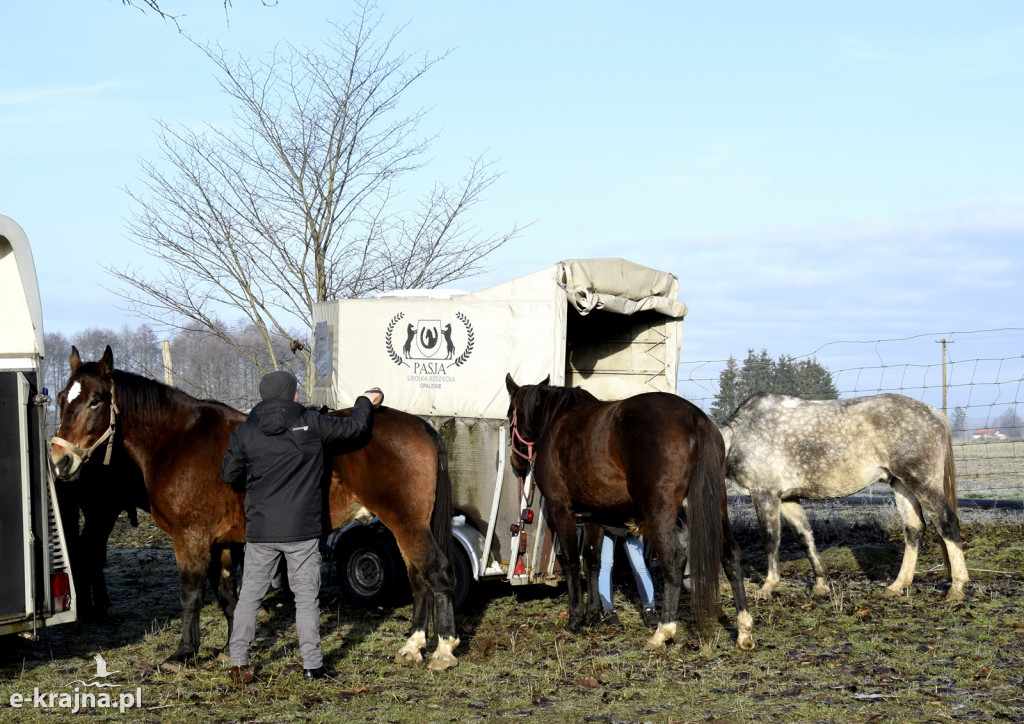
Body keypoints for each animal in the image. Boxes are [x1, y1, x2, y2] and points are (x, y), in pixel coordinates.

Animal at [50, 348, 460, 671]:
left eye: (96, 400)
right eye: (60, 397)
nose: (60, 461)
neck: (177, 442)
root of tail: (418, 424)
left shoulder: (190, 539)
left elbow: (191, 595)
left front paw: (184, 654)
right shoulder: (221, 543)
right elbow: (229, 596)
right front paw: (231, 648)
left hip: (407, 523)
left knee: (436, 574)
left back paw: (443, 650)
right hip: (402, 525)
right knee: (417, 579)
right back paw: (412, 645)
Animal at [507, 374, 757, 651]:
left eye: (509, 414)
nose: (515, 462)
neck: (558, 421)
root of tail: (695, 417)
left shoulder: (560, 508)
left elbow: (572, 561)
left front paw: (574, 619)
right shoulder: (594, 515)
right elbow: (593, 561)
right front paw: (592, 615)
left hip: (660, 513)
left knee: (674, 561)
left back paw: (662, 632)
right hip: (716, 505)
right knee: (731, 556)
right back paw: (744, 630)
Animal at [720, 393, 966, 602]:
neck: (739, 438)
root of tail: (933, 412)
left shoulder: (765, 494)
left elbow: (770, 540)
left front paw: (767, 586)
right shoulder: (787, 498)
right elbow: (805, 537)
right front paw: (820, 583)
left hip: (922, 482)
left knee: (947, 523)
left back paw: (956, 588)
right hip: (901, 483)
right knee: (914, 529)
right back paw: (898, 585)